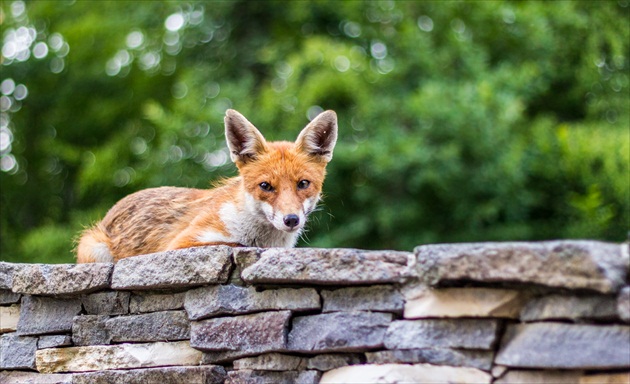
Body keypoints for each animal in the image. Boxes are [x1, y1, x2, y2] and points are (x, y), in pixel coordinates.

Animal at [76, 109, 338, 262]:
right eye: (265, 186)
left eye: (303, 184)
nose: (291, 219)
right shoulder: (180, 243)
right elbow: (234, 244)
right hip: (94, 249)